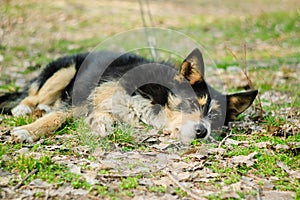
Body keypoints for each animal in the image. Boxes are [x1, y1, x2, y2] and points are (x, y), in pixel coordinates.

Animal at [0, 48, 258, 144]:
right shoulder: (82, 99)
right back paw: (25, 108)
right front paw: (28, 131)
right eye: (190, 103)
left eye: (214, 118)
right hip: (64, 71)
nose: (201, 131)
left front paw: (101, 123)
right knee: (32, 95)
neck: (155, 98)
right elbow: (56, 118)